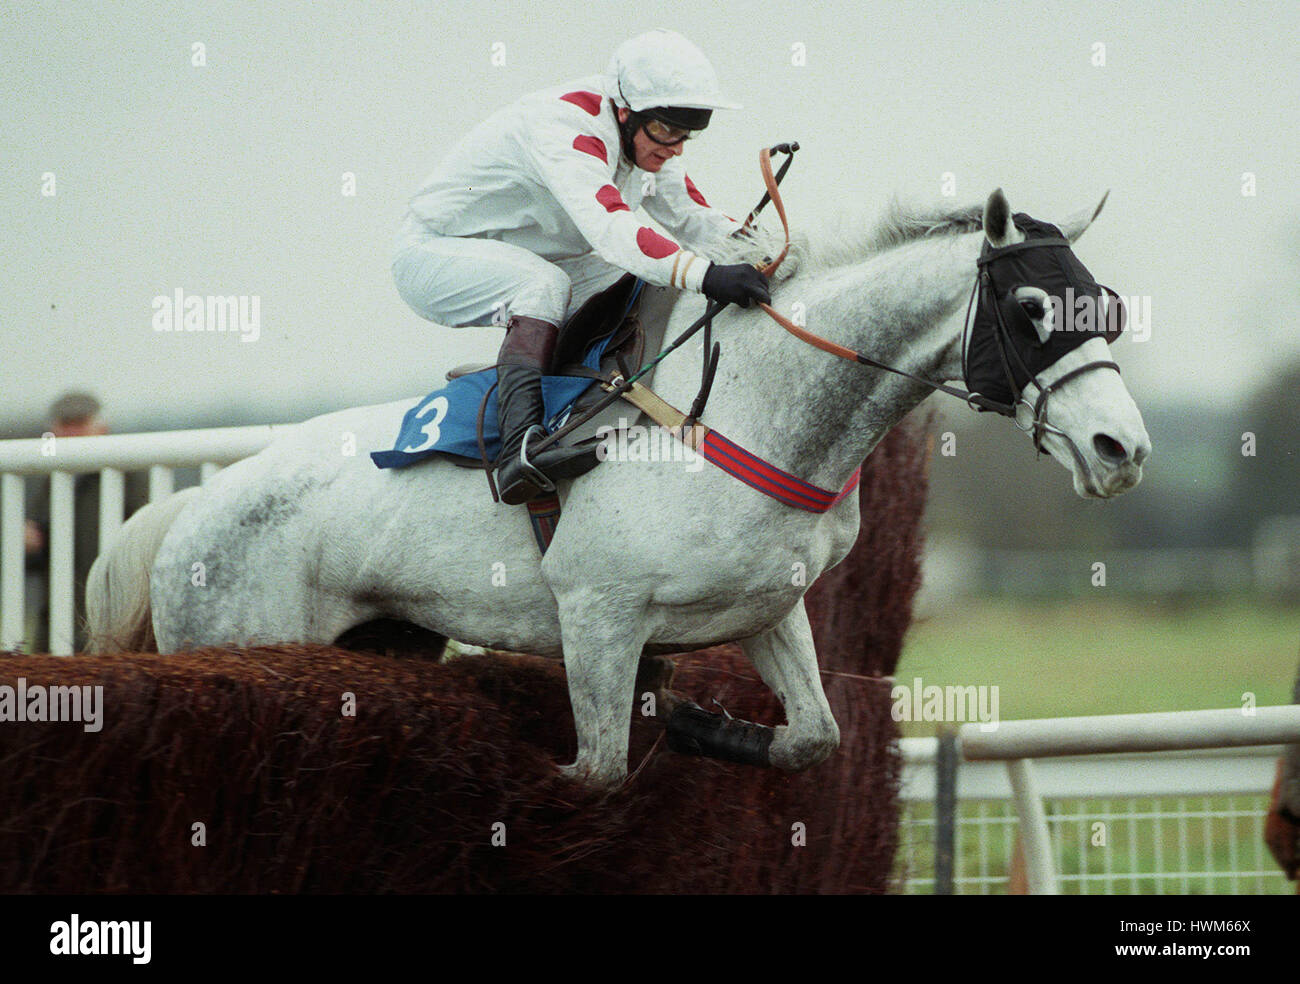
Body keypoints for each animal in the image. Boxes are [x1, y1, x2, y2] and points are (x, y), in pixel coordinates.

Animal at [86, 188, 1154, 785]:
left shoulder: (768, 607)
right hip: (238, 637)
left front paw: (694, 719)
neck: (744, 415)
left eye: (1102, 303)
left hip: (386, 639)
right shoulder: (596, 615)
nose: (1123, 449)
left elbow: (812, 739)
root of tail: (191, 509)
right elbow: (593, 771)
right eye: (1030, 307)